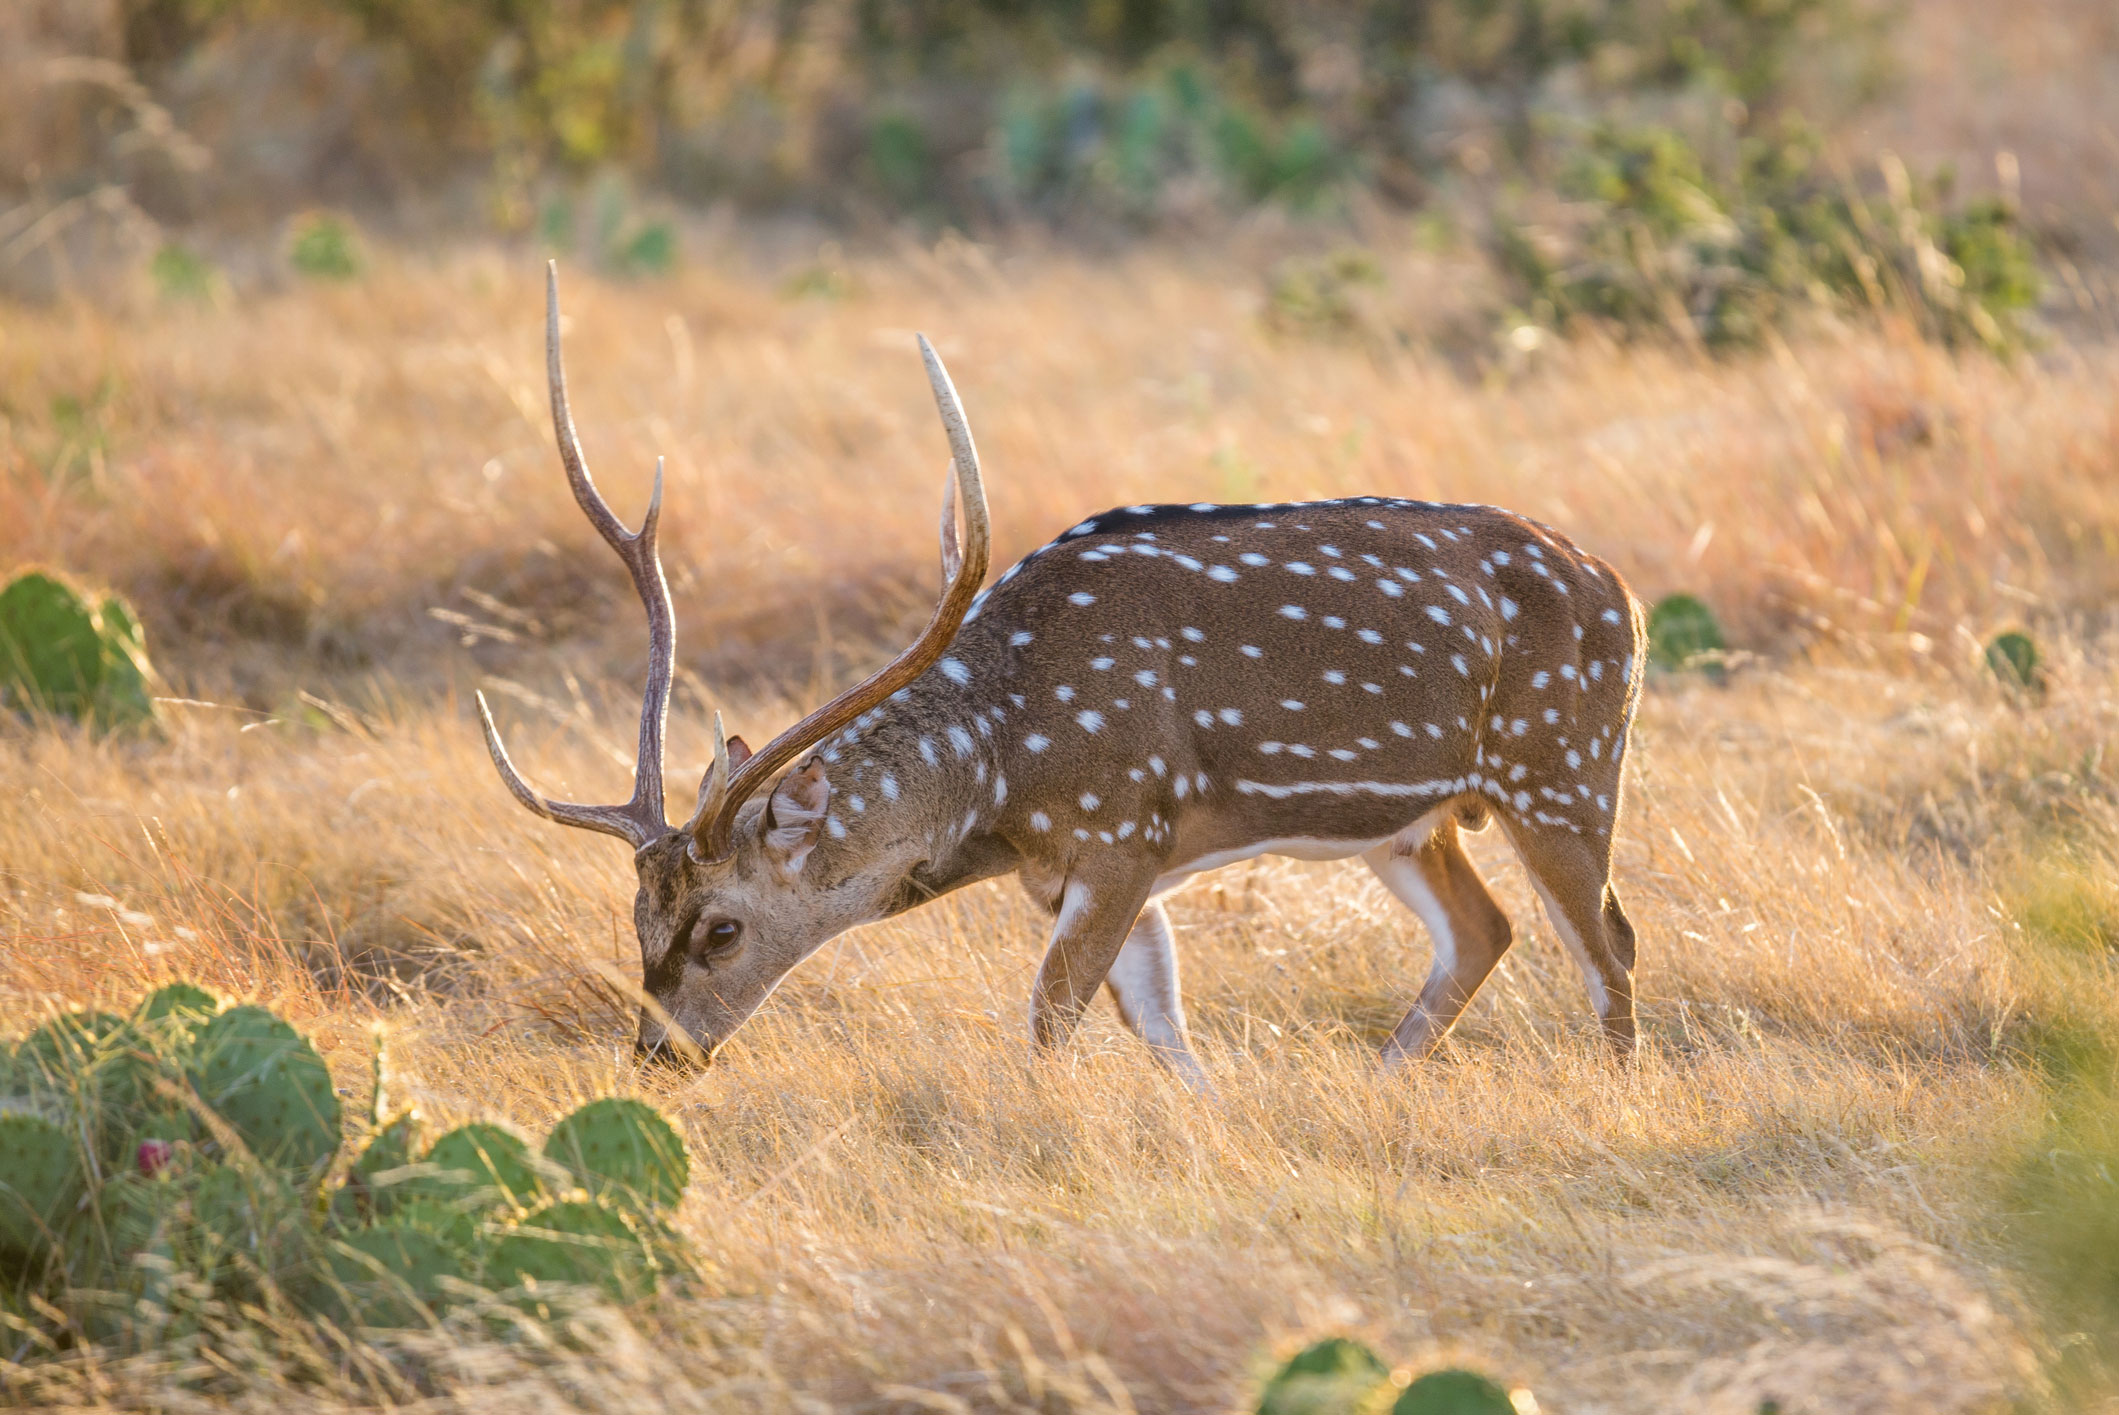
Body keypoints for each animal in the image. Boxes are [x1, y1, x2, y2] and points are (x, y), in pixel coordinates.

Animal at [485, 264, 1652, 1084]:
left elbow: (1052, 1014)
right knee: (1485, 929)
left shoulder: (1125, 824)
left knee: (1608, 942)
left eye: (721, 926)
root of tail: (1622, 592)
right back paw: (1379, 1083)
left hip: (1562, 766)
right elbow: (1159, 1022)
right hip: (1412, 821)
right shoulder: (1075, 868)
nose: (659, 1054)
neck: (1007, 773)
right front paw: (1212, 1121)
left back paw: (1611, 1091)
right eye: (636, 920)